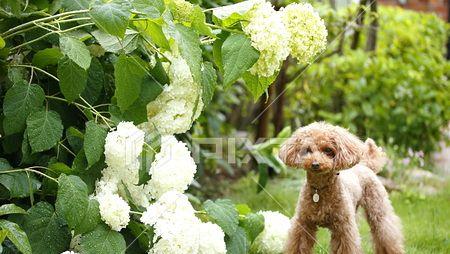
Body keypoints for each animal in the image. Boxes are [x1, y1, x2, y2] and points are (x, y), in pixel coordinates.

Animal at [278, 122, 404, 253]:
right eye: (307, 150)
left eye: (328, 150)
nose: (315, 164)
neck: (320, 188)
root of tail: (365, 165)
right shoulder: (303, 223)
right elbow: (298, 245)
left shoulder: (344, 227)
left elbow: (347, 247)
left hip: (377, 210)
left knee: (385, 231)